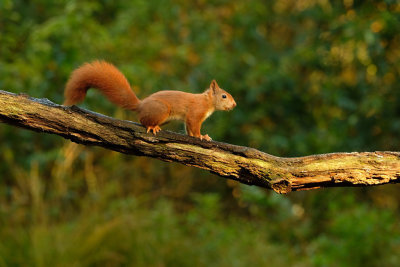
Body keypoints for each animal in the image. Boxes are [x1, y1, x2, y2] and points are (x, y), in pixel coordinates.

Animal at [63, 60, 236, 140]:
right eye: (224, 96)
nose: (234, 104)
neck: (208, 102)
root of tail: (141, 105)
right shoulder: (195, 113)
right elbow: (194, 126)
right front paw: (201, 136)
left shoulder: (189, 118)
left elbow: (188, 129)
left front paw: (197, 137)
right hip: (162, 109)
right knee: (143, 121)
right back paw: (152, 127)